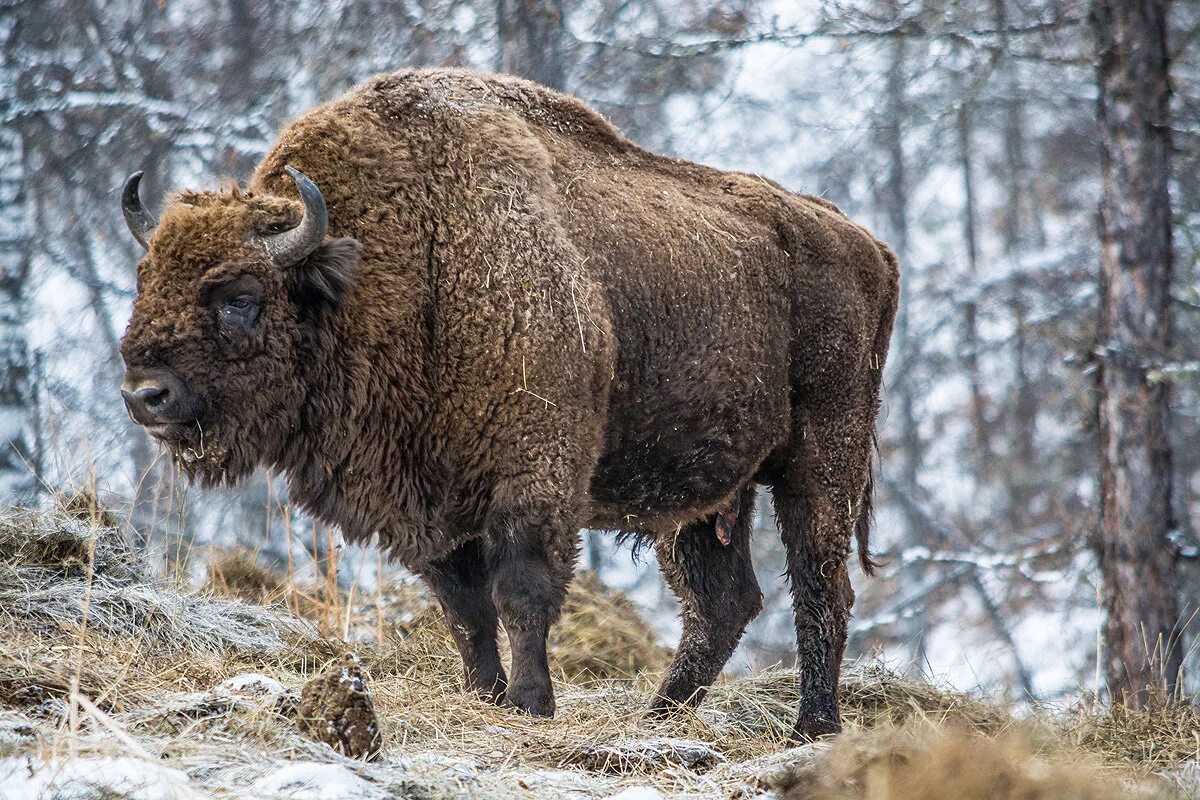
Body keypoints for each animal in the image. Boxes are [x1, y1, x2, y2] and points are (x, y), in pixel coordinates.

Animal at [117, 67, 897, 738]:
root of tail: (868, 245)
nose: (145, 395)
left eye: (239, 296)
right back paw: (656, 720)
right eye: (146, 279)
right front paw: (486, 696)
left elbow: (520, 591)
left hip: (822, 458)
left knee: (820, 588)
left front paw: (529, 703)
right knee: (723, 603)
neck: (402, 256)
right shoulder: (431, 502)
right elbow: (464, 608)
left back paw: (812, 728)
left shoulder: (532, 474)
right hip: (703, 497)